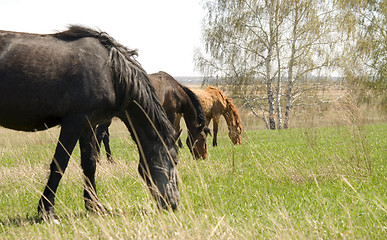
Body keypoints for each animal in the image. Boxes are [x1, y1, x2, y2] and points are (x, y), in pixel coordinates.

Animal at [0, 25, 181, 219]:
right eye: (175, 160)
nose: (174, 203)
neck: (111, 73)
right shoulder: (74, 122)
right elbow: (60, 163)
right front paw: (47, 209)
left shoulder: (89, 125)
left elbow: (90, 164)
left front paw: (94, 206)